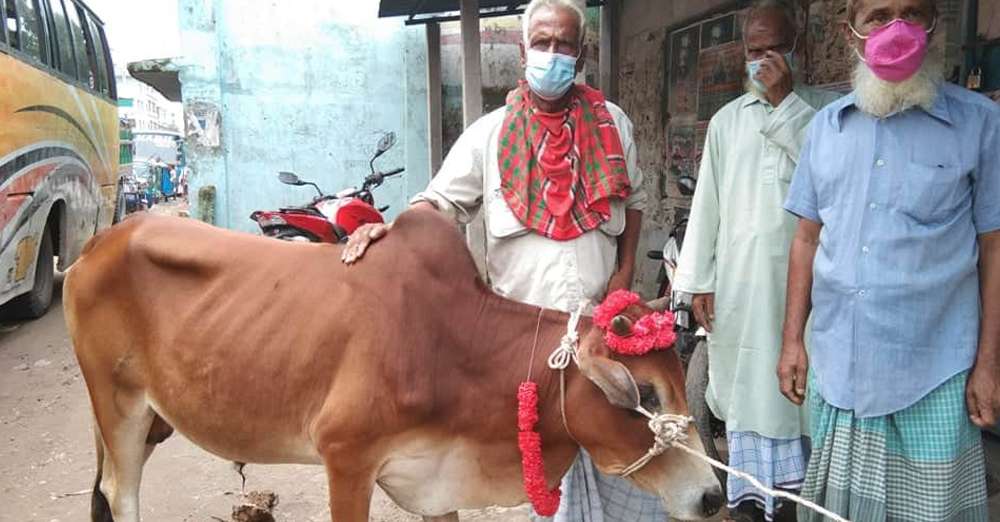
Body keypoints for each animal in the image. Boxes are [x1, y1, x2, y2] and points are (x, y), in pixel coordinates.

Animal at [64, 208, 723, 522]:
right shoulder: (346, 459)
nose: (713, 497)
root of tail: (96, 244)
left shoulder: (437, 478)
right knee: (119, 494)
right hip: (117, 406)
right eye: (645, 393)